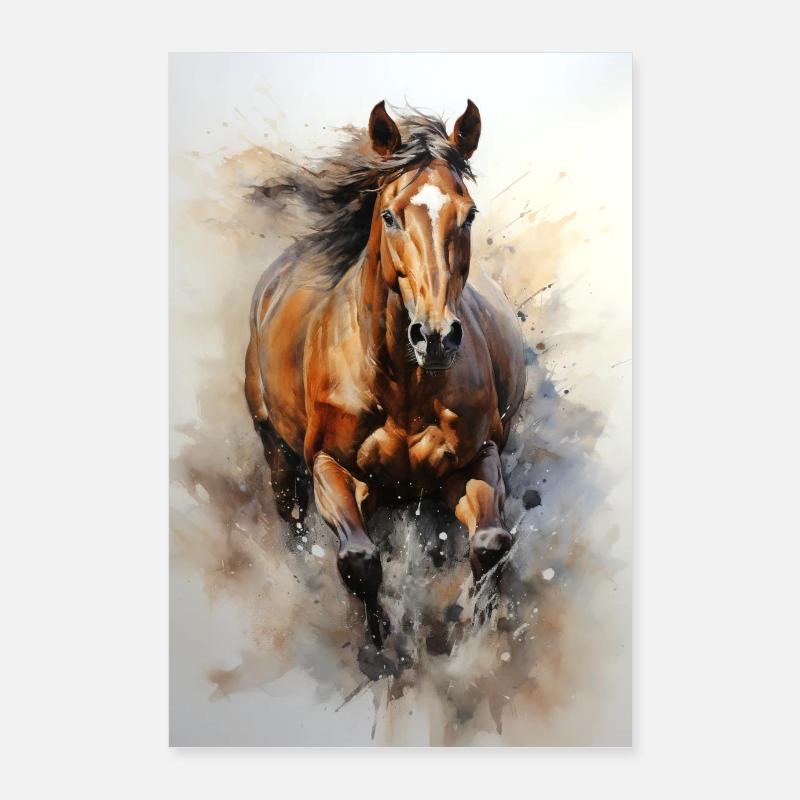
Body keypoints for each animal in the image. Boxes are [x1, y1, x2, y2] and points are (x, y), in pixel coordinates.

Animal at [245, 101, 526, 650]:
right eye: (391, 215)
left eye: (469, 214)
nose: (436, 336)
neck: (402, 387)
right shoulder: (330, 466)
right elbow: (359, 560)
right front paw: (379, 648)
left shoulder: (475, 458)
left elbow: (489, 542)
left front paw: (477, 630)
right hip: (273, 444)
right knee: (290, 514)